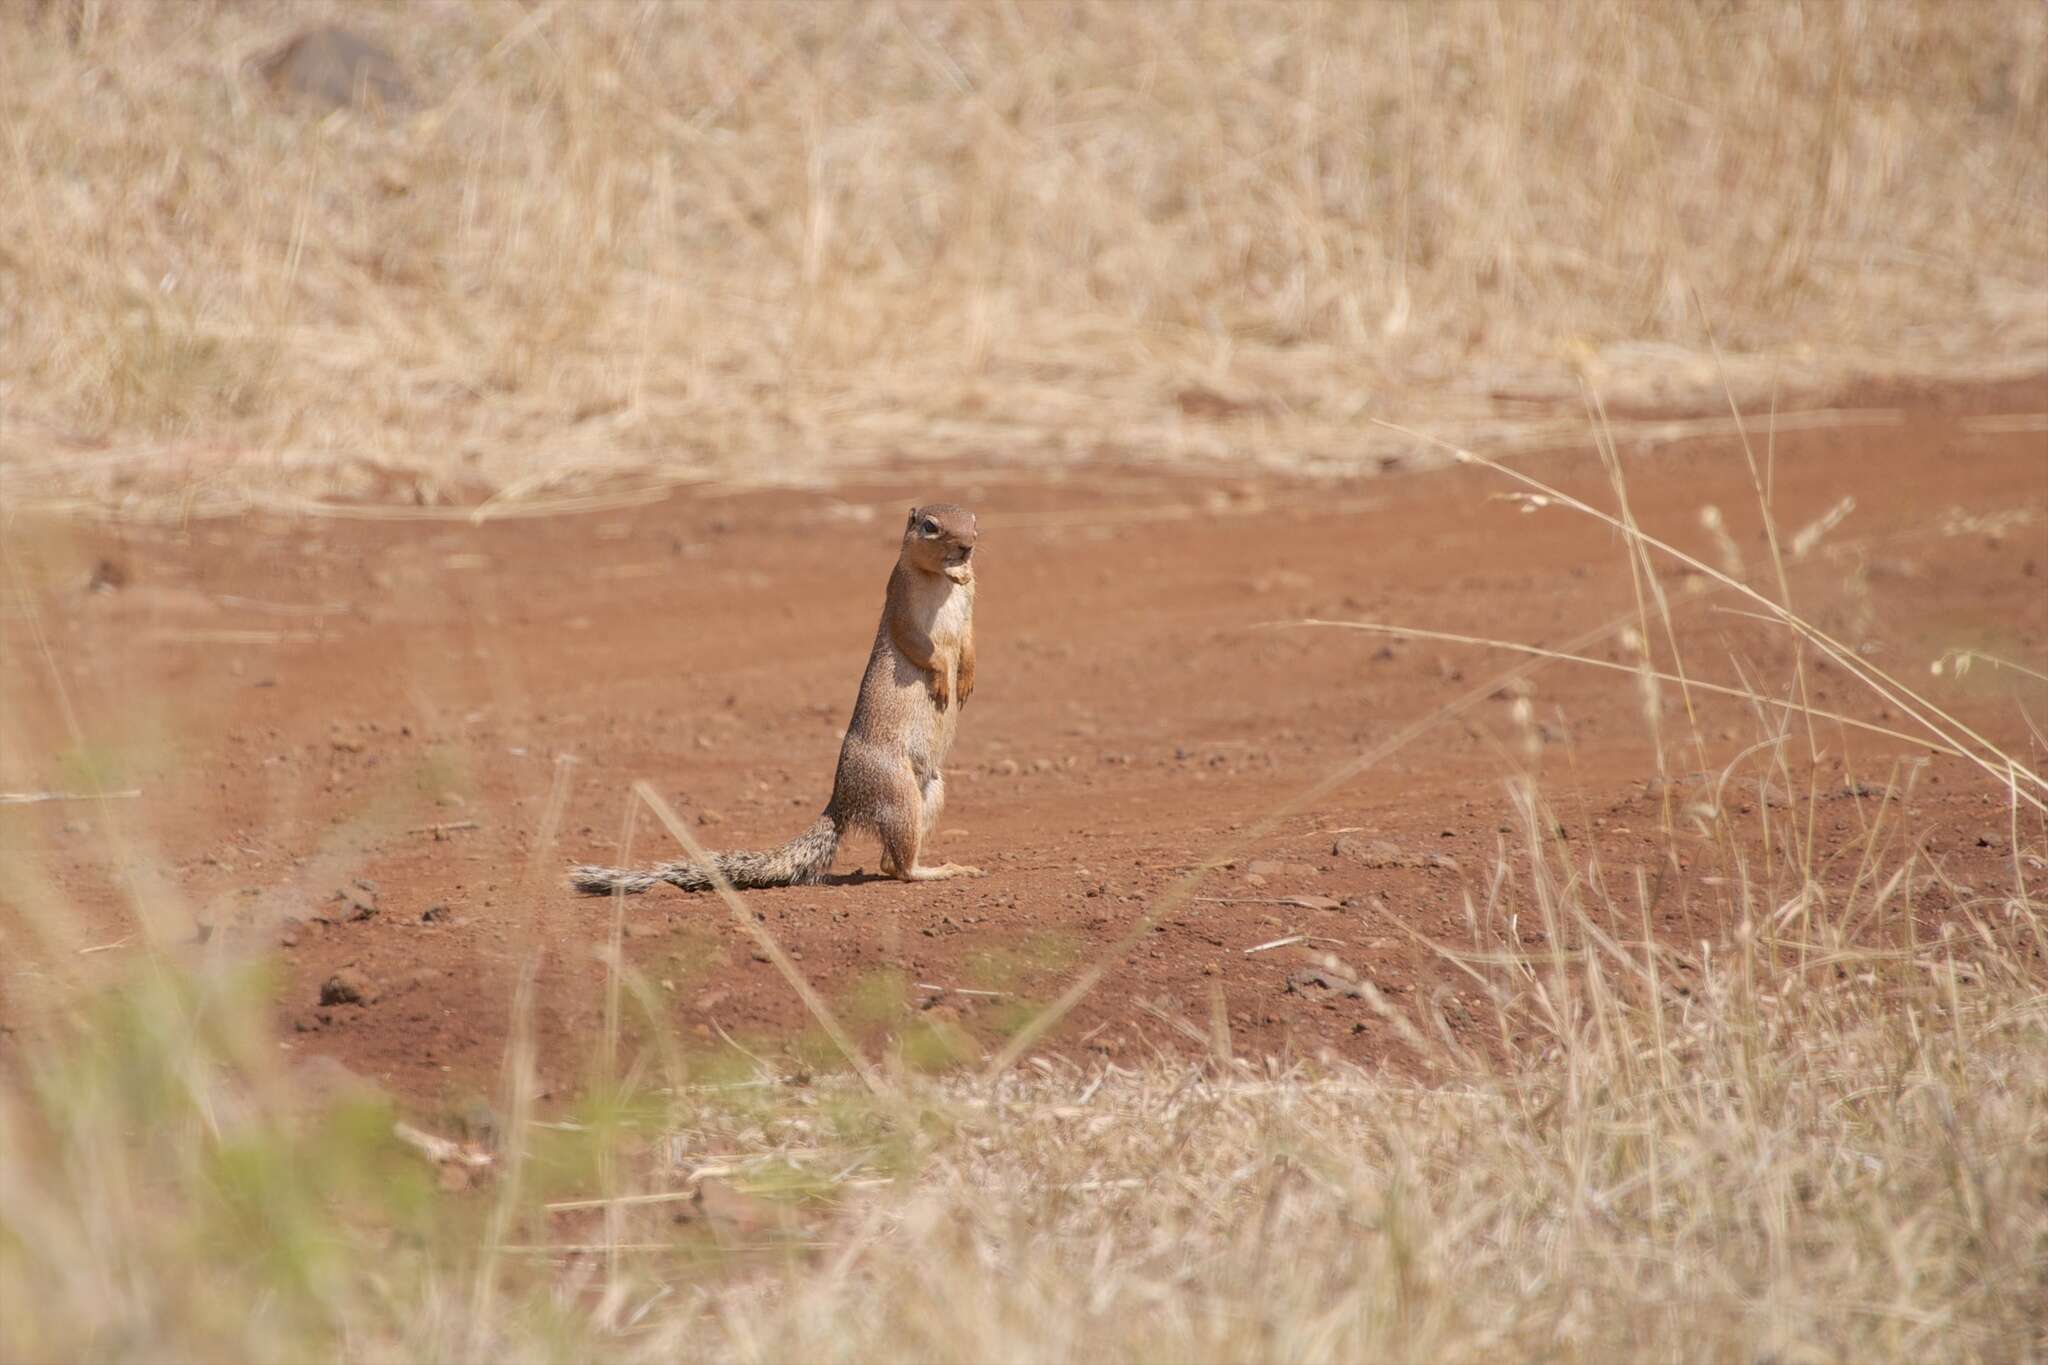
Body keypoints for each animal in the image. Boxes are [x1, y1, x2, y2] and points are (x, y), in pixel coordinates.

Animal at [573, 501, 987, 896]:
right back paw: (943, 870)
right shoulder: (900, 602)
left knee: (890, 862)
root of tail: (842, 800)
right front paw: (943, 678)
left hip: (931, 790)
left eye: (973, 521)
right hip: (898, 793)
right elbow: (917, 644)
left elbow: (968, 642)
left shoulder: (969, 608)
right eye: (930, 526)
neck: (942, 580)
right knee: (900, 868)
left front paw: (966, 679)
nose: (966, 546)